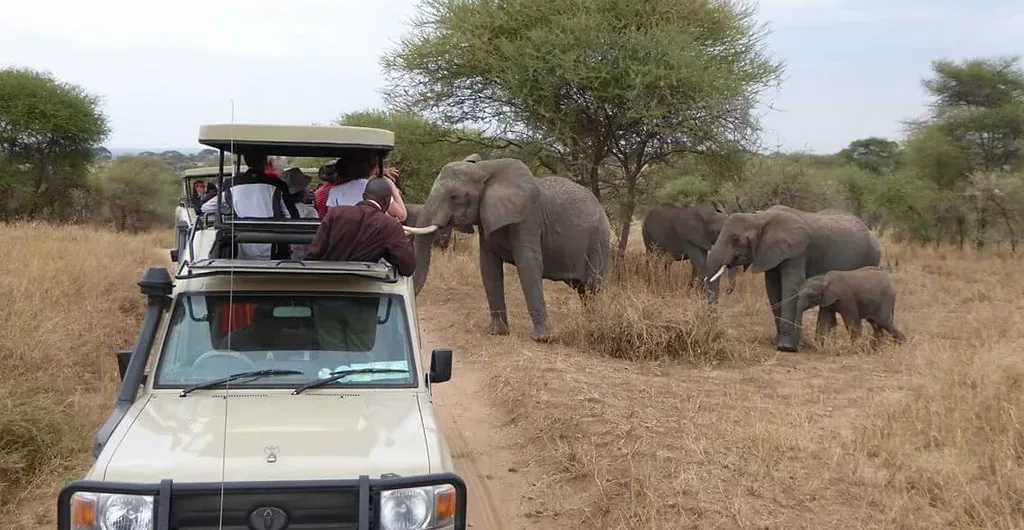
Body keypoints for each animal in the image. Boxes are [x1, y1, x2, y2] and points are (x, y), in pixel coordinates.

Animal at [401, 155, 610, 343]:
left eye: (454, 196)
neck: (485, 169)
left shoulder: (528, 218)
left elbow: (529, 264)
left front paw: (543, 339)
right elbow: (488, 265)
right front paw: (497, 332)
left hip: (599, 240)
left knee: (592, 285)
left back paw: (593, 328)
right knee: (583, 289)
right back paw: (589, 324)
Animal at [704, 206, 880, 354]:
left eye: (736, 240)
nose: (728, 290)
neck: (761, 218)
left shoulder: (797, 252)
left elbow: (790, 286)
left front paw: (785, 347)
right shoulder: (771, 254)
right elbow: (773, 289)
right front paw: (782, 343)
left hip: (870, 258)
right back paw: (822, 345)